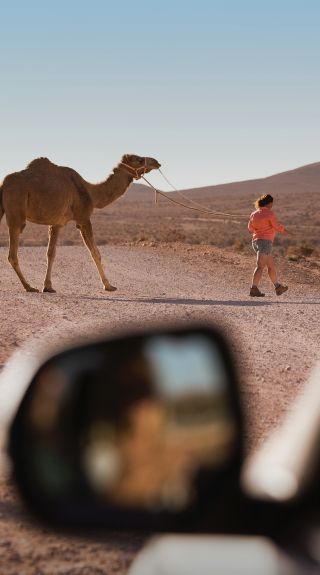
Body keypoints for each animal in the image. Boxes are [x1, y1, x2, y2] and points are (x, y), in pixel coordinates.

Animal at [0, 154, 160, 292]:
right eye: (139, 160)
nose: (156, 162)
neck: (91, 192)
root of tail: (3, 184)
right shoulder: (83, 218)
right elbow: (95, 253)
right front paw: (108, 285)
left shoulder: (57, 223)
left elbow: (51, 253)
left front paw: (48, 286)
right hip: (16, 212)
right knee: (12, 254)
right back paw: (28, 287)